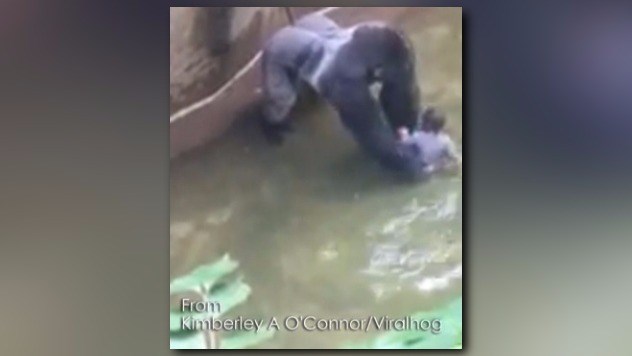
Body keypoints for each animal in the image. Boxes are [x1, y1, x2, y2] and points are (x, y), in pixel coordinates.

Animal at [260, 13, 432, 178]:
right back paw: (270, 126)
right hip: (272, 55)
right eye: (404, 65)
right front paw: (406, 161)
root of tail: (281, 30)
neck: (356, 51)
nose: (408, 67)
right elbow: (370, 132)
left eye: (408, 65)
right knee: (282, 98)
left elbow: (396, 99)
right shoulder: (346, 83)